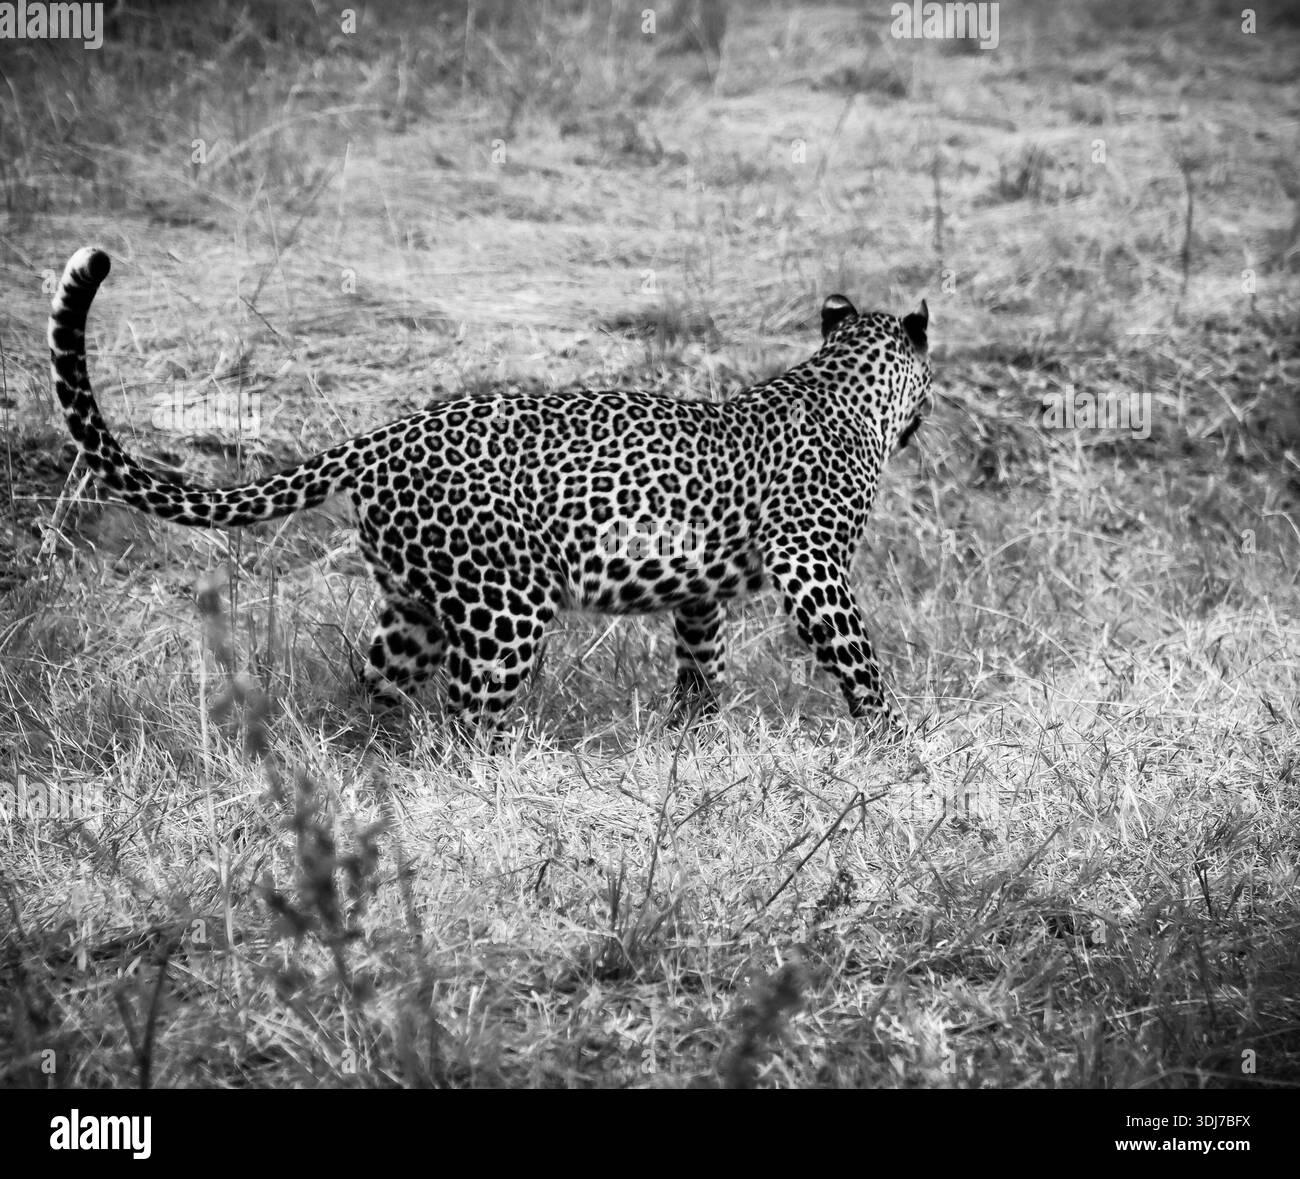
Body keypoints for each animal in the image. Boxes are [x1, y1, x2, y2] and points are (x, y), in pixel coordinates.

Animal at [48, 246, 933, 733]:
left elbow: (701, 658)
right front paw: (896, 741)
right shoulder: (811, 566)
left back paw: (373, 762)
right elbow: (858, 658)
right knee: (469, 719)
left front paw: (694, 731)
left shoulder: (696, 589)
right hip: (506, 607)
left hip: (415, 604)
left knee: (377, 689)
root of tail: (385, 435)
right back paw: (504, 778)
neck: (842, 382)